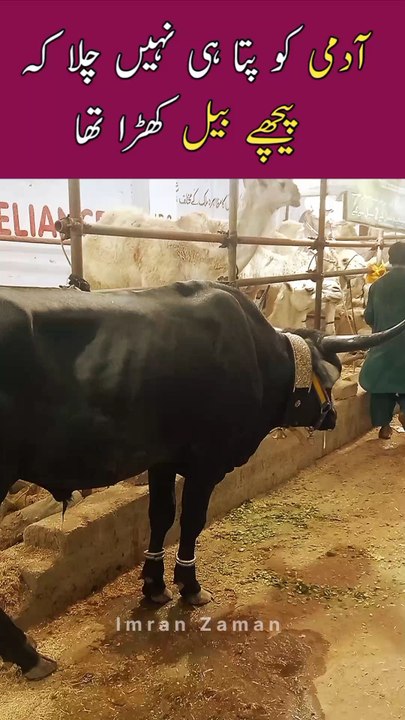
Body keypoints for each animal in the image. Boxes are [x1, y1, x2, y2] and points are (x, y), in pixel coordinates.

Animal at [1, 281, 405, 680]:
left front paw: (154, 586)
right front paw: (189, 586)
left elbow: (161, 516)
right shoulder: (208, 461)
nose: (332, 416)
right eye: (329, 378)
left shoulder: (162, 459)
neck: (258, 355)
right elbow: (192, 520)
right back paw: (29, 656)